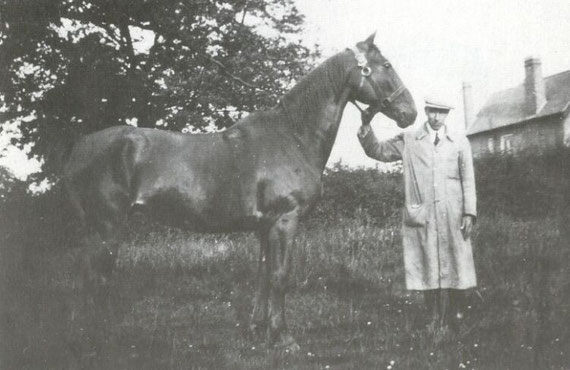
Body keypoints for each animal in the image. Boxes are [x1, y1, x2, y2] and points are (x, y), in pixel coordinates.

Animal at [63, 32, 418, 350]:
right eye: (386, 65)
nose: (410, 112)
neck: (293, 136)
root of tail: (81, 146)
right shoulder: (285, 220)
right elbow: (280, 275)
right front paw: (284, 338)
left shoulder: (264, 226)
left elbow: (263, 274)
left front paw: (257, 330)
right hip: (108, 227)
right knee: (98, 279)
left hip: (95, 229)